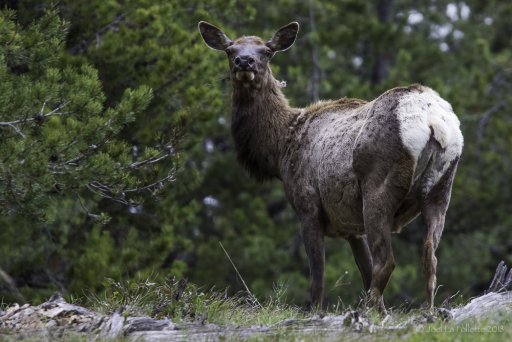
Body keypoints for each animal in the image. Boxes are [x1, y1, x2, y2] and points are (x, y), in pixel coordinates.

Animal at [199, 21, 464, 312]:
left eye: (267, 51)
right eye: (230, 50)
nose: (244, 61)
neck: (279, 149)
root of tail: (433, 121)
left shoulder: (308, 206)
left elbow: (318, 278)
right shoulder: (350, 225)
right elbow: (364, 270)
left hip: (378, 188)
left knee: (387, 262)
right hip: (441, 190)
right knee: (429, 258)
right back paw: (427, 311)